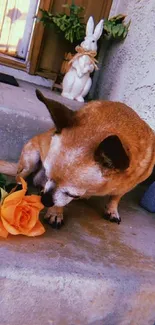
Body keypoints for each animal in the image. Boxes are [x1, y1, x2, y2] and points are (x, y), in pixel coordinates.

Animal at [0, 88, 154, 225]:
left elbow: (116, 197)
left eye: (72, 194)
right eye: (48, 176)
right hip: (30, 160)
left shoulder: (126, 186)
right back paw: (21, 188)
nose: (45, 200)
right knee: (20, 177)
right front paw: (55, 213)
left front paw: (112, 210)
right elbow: (59, 202)